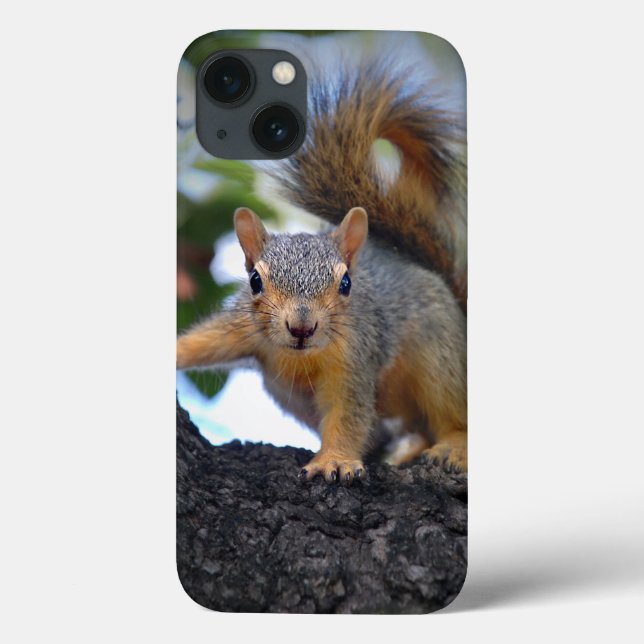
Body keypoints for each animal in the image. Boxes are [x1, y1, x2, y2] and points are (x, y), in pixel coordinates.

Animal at [177, 61, 467, 483]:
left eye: (346, 283)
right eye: (255, 281)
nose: (302, 328)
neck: (302, 359)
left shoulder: (354, 356)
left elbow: (349, 414)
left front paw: (335, 460)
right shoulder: (242, 328)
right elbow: (202, 341)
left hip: (440, 354)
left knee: (452, 411)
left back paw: (454, 446)